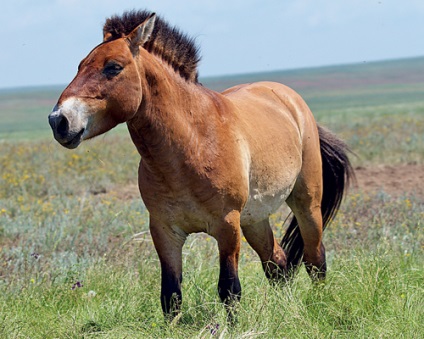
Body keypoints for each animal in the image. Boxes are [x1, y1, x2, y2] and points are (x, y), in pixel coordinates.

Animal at [48, 9, 354, 320]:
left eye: (113, 67)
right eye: (80, 65)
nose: (58, 120)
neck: (190, 146)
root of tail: (289, 98)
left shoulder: (227, 227)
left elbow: (229, 290)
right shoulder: (164, 231)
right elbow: (170, 296)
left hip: (306, 203)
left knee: (315, 259)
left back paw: (318, 305)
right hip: (254, 219)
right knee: (276, 263)